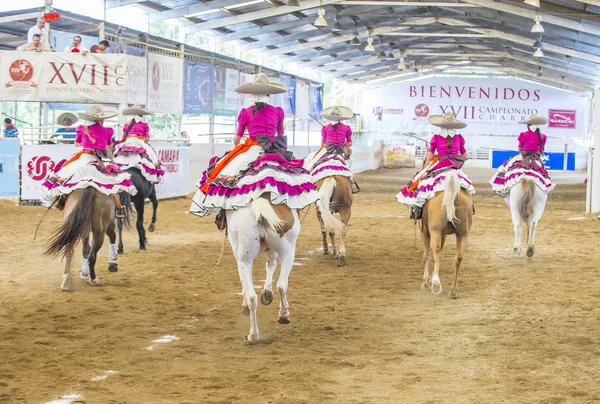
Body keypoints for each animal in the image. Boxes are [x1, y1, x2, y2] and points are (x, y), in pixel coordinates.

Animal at [225, 196, 300, 344]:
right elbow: (271, 265)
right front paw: (267, 293)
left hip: (245, 259)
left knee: (252, 296)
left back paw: (253, 334)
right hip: (288, 252)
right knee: (281, 285)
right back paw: (283, 315)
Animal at [422, 170, 474, 300]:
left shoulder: (425, 231)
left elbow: (427, 255)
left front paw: (425, 282)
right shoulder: (444, 234)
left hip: (435, 232)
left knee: (436, 251)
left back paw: (436, 282)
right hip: (462, 235)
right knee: (458, 258)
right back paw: (453, 291)